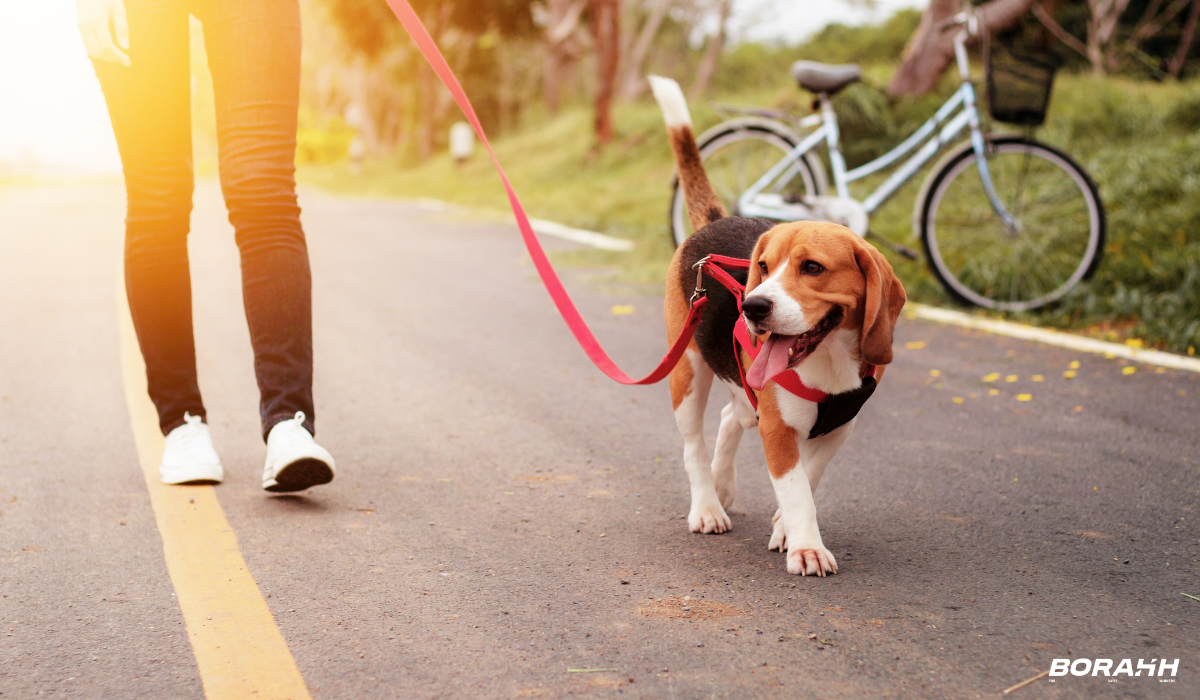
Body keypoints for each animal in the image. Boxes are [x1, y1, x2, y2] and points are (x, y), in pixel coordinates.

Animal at [652, 78, 902, 581]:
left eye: (813, 267)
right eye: (763, 267)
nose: (752, 306)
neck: (827, 361)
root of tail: (715, 221)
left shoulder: (838, 427)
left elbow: (809, 479)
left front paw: (786, 529)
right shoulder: (777, 429)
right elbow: (796, 488)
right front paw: (807, 547)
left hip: (745, 395)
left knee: (732, 416)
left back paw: (723, 485)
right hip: (686, 371)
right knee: (693, 445)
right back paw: (707, 506)